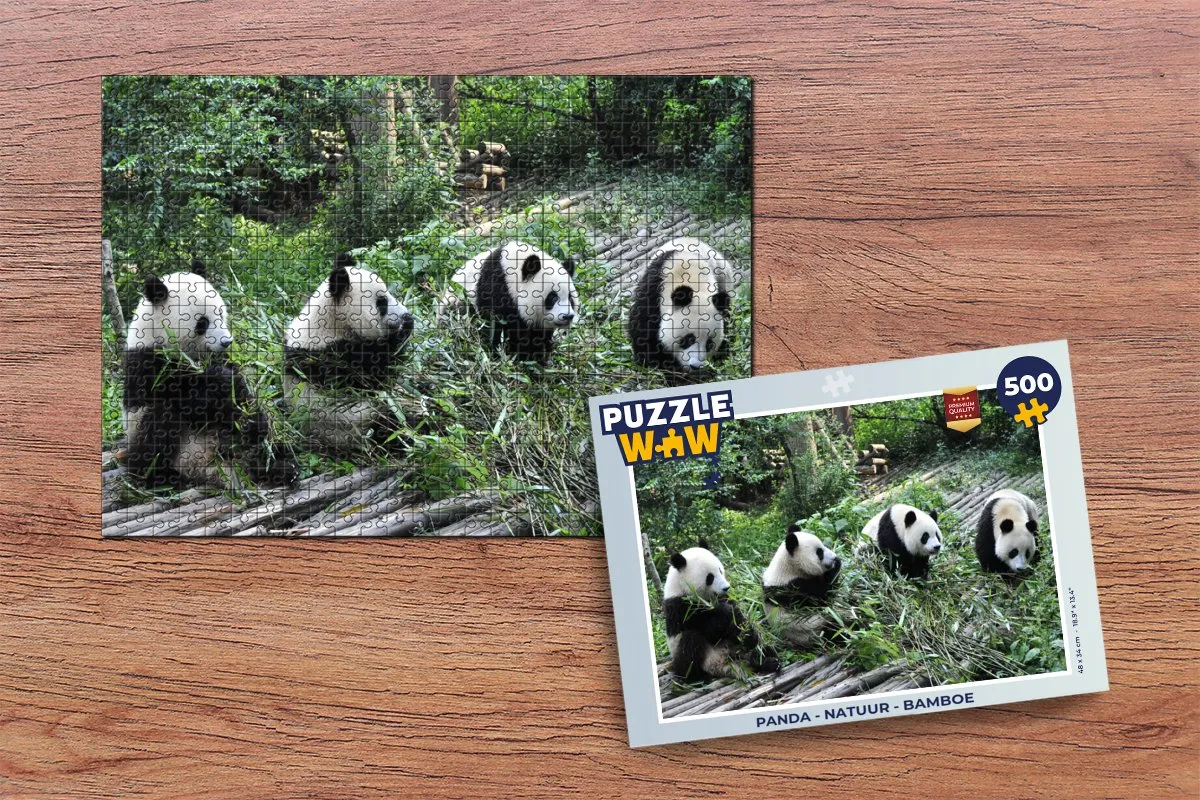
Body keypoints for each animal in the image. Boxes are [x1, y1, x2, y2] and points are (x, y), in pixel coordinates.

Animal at [123, 261, 292, 487]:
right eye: (202, 323)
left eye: (221, 314)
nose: (227, 342)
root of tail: (209, 468)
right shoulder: (147, 363)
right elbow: (190, 400)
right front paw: (218, 380)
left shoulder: (224, 359)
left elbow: (243, 395)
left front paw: (253, 420)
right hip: (152, 436)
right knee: (159, 426)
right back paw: (159, 477)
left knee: (264, 450)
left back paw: (280, 467)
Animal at [284, 252, 415, 454]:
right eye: (382, 303)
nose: (406, 314)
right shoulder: (329, 358)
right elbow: (374, 377)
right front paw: (403, 330)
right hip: (358, 424)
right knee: (392, 425)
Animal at [444, 241, 578, 364]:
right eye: (553, 297)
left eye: (570, 298)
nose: (567, 316)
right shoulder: (496, 288)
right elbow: (499, 327)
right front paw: (518, 355)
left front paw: (541, 355)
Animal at [663, 541, 779, 682]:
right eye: (710, 577)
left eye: (720, 570)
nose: (726, 587)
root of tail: (725, 666)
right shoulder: (680, 608)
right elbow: (710, 631)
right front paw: (725, 611)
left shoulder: (726, 598)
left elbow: (739, 622)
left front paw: (748, 633)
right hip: (698, 656)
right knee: (690, 643)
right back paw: (695, 678)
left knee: (763, 646)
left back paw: (767, 660)